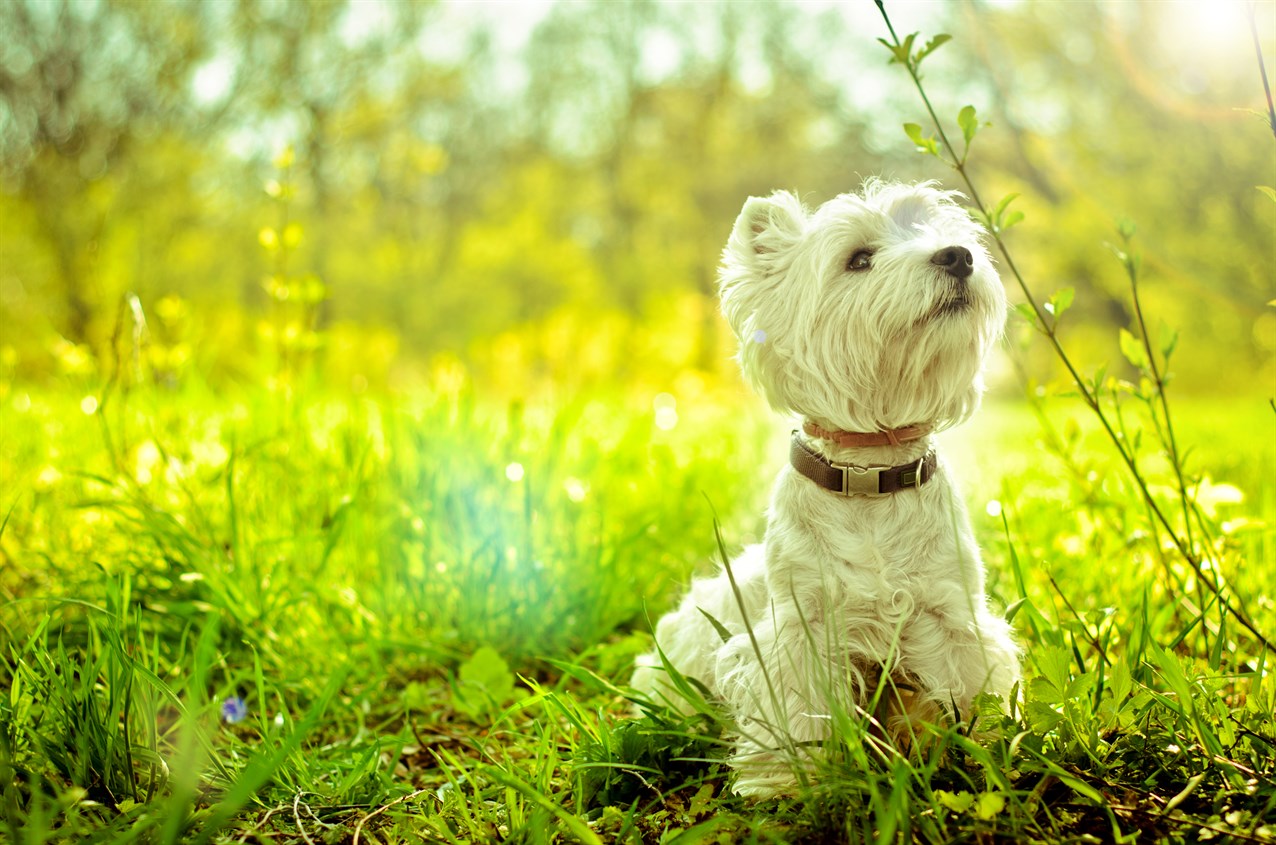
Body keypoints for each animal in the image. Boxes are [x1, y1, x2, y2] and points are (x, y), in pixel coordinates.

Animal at [632, 182, 1020, 796]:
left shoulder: (950, 614)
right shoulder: (802, 629)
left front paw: (983, 753)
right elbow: (794, 710)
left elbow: (967, 691)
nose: (959, 256)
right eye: (858, 259)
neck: (870, 476)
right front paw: (786, 781)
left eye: (937, 232)